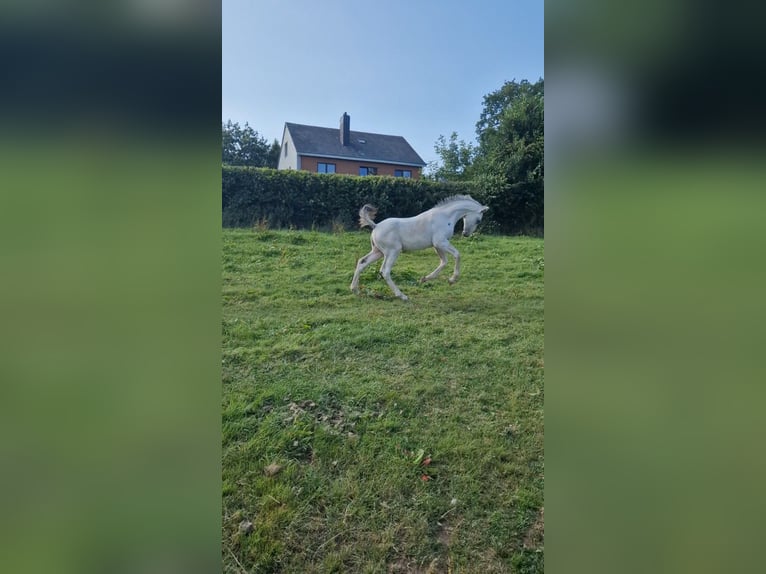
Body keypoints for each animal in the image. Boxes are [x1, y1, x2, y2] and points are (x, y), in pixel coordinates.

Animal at [352, 196, 488, 302]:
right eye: (478, 220)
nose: (466, 234)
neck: (445, 216)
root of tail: (376, 226)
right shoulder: (440, 242)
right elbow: (457, 255)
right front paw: (452, 280)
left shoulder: (437, 245)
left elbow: (444, 262)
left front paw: (424, 279)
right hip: (393, 252)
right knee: (384, 271)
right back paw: (402, 296)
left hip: (378, 252)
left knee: (362, 262)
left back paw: (355, 290)